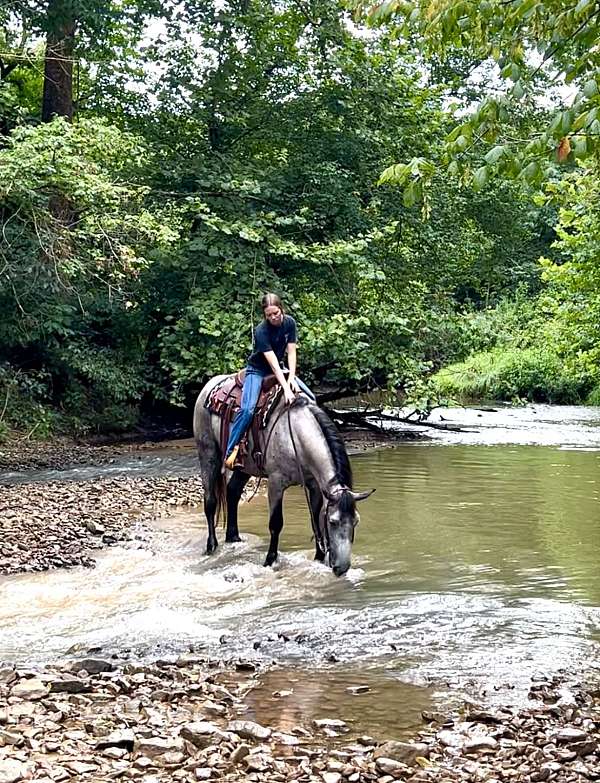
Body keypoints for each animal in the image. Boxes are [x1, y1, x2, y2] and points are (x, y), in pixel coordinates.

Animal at [192, 376, 372, 580]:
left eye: (355, 521)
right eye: (333, 522)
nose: (342, 569)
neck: (297, 436)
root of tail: (211, 384)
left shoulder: (314, 485)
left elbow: (315, 520)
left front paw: (318, 558)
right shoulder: (276, 483)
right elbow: (275, 523)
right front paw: (270, 561)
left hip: (243, 467)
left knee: (233, 492)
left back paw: (234, 538)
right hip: (208, 454)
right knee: (210, 501)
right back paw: (211, 546)